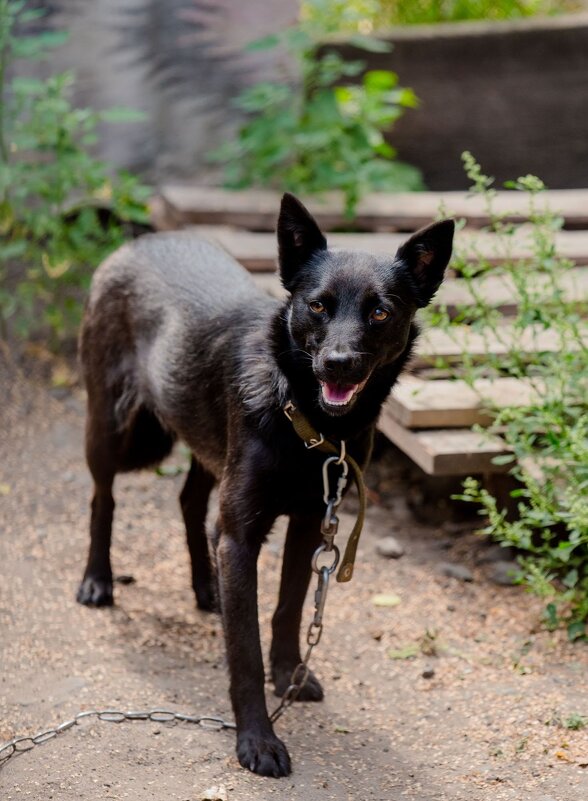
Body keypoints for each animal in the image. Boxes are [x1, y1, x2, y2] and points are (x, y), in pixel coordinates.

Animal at [77, 194, 454, 776]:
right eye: (317, 306)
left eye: (380, 312)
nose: (337, 364)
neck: (307, 421)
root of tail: (139, 242)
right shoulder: (242, 536)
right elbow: (245, 651)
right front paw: (257, 739)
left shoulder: (310, 524)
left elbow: (287, 610)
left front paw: (289, 676)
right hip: (116, 429)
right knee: (104, 497)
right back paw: (98, 581)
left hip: (205, 444)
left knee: (190, 504)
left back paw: (207, 588)